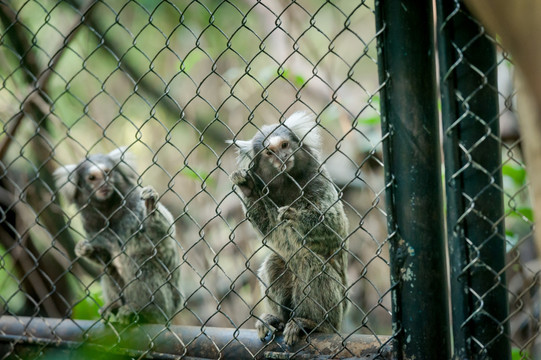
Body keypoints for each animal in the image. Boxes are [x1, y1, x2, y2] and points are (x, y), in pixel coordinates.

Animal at [54, 148, 181, 324]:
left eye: (107, 172)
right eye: (92, 178)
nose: (104, 184)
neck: (109, 211)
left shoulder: (134, 205)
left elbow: (163, 232)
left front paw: (151, 206)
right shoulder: (92, 229)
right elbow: (105, 257)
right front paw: (84, 250)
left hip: (168, 301)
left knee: (140, 262)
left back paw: (146, 310)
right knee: (108, 270)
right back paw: (113, 306)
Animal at [229, 112, 348, 346]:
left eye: (284, 145)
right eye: (269, 152)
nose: (282, 157)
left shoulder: (318, 179)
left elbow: (334, 227)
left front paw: (296, 216)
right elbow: (268, 229)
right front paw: (247, 188)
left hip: (339, 310)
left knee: (309, 261)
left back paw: (314, 325)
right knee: (275, 262)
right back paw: (277, 321)